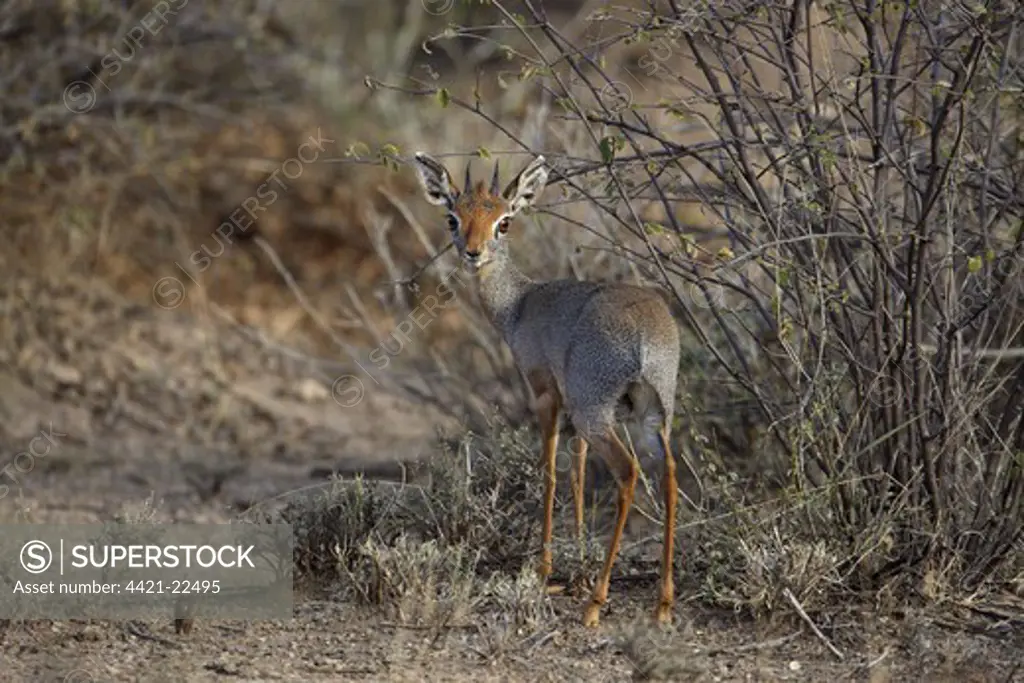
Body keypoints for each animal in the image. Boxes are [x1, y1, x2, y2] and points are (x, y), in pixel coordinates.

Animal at [407, 150, 679, 626]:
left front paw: (545, 569)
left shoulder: (546, 393)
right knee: (669, 474)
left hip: (598, 414)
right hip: (651, 414)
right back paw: (662, 603)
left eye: (504, 221)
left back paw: (597, 604)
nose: (474, 253)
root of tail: (646, 337)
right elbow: (578, 474)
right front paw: (578, 566)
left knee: (628, 473)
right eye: (453, 217)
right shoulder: (574, 406)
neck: (519, 305)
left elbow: (550, 471)